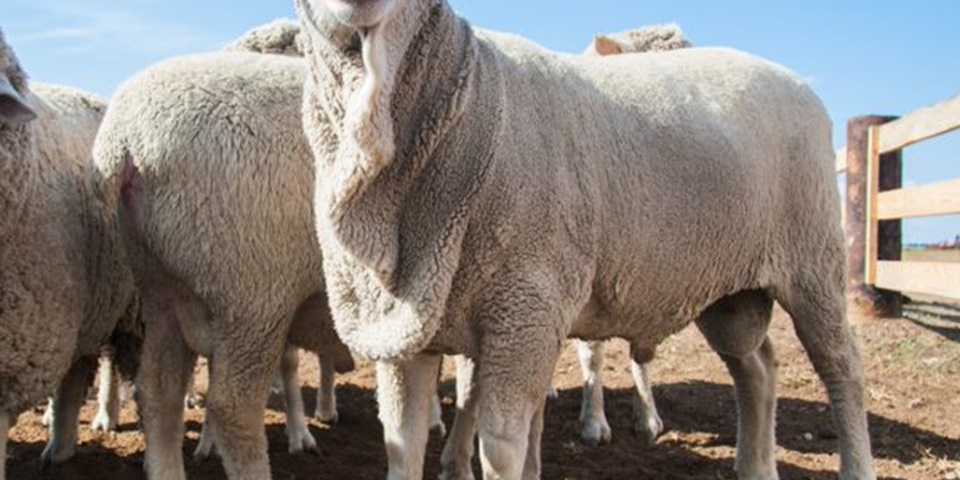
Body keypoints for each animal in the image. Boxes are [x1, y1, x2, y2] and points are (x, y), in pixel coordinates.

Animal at [296, 1, 875, 479]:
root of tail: (795, 80)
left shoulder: (526, 307)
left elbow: (501, 446)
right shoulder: (408, 324)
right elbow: (402, 443)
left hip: (813, 261)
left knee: (842, 369)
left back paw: (855, 464)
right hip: (729, 286)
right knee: (756, 367)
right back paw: (755, 466)